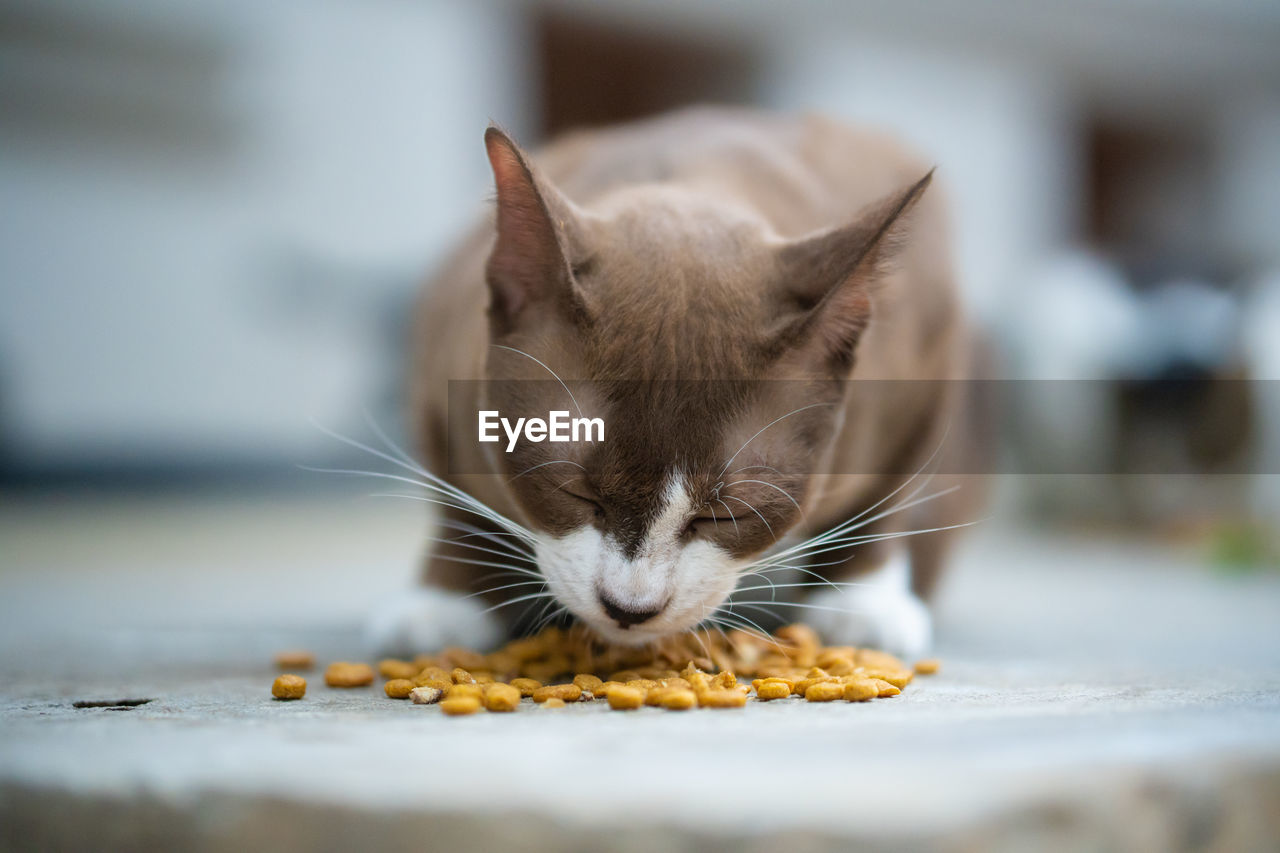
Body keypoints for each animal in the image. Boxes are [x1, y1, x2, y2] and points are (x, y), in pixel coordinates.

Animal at [373, 103, 977, 653]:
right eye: (575, 491)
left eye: (726, 514)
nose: (629, 608)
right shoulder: (438, 366)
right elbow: (453, 498)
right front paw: (443, 604)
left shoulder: (925, 368)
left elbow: (889, 491)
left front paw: (862, 605)